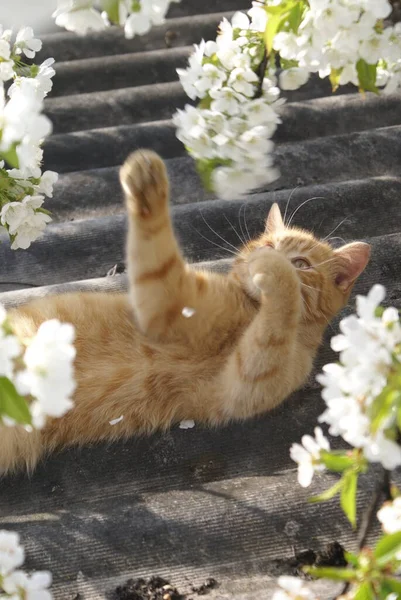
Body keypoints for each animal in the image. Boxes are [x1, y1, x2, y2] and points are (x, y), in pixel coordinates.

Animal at [1, 150, 370, 474]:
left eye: (302, 264)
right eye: (266, 243)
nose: (267, 255)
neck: (250, 312)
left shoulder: (246, 381)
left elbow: (277, 319)